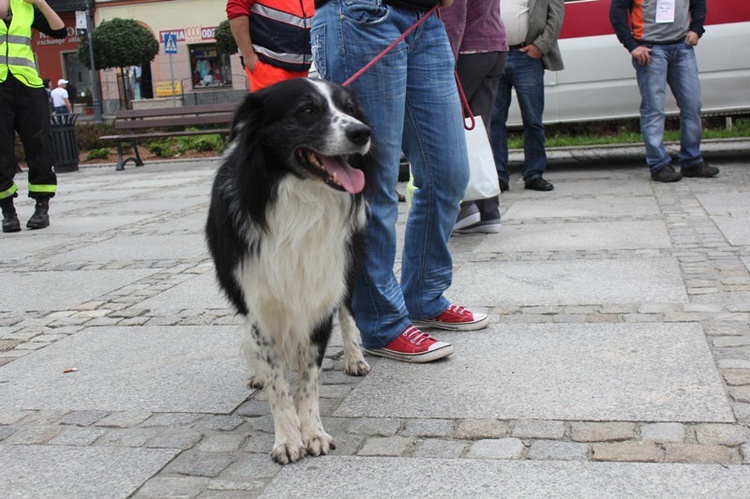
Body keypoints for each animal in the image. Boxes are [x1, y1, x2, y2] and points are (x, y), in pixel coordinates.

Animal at [206, 78, 374, 464]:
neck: (298, 200)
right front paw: (287, 439)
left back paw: (355, 357)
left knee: (348, 312)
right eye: (307, 111)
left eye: (349, 108)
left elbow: (309, 378)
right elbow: (277, 380)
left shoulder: (320, 291)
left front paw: (313, 433)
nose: (362, 132)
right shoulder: (258, 301)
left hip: (347, 266)